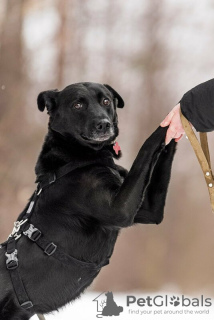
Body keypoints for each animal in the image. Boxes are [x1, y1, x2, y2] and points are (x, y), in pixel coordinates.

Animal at [0, 82, 176, 318]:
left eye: (106, 101)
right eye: (78, 104)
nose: (104, 124)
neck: (79, 157)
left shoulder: (149, 210)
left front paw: (178, 121)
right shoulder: (121, 209)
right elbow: (147, 147)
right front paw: (167, 124)